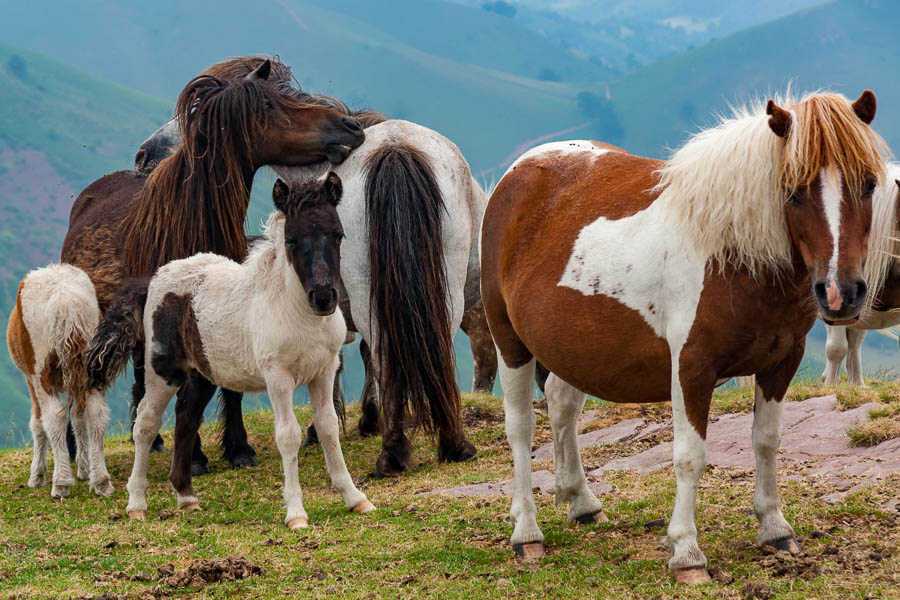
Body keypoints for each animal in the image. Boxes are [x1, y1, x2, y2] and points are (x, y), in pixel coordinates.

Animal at [6, 266, 113, 496]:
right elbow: (79, 417)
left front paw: (36, 476)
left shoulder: (30, 378)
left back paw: (61, 483)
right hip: (91, 365)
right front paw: (84, 469)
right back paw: (101, 481)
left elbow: (38, 422)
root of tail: (65, 299)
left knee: (54, 417)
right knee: (96, 413)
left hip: (40, 370)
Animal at [59, 59, 364, 474]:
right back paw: (75, 448)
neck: (191, 227)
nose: (351, 127)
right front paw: (196, 457)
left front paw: (238, 448)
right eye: (272, 106)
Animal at [88, 172, 372, 524]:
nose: (323, 297)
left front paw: (355, 498)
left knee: (186, 418)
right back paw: (137, 504)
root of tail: (152, 280)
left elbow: (328, 428)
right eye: (292, 240)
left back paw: (186, 496)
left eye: (338, 235)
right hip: (162, 371)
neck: (293, 308)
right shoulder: (278, 377)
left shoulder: (324, 370)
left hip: (203, 374)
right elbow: (287, 435)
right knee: (146, 425)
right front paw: (296, 513)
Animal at [482, 91, 888, 584]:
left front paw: (775, 529)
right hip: (509, 342)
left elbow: (767, 441)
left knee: (562, 405)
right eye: (793, 192)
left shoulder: (780, 364)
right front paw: (686, 552)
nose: (840, 293)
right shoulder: (691, 368)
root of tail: (520, 171)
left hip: (570, 347)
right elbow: (690, 455)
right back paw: (527, 532)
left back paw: (580, 501)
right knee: (521, 427)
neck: (732, 255)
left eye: (868, 184)